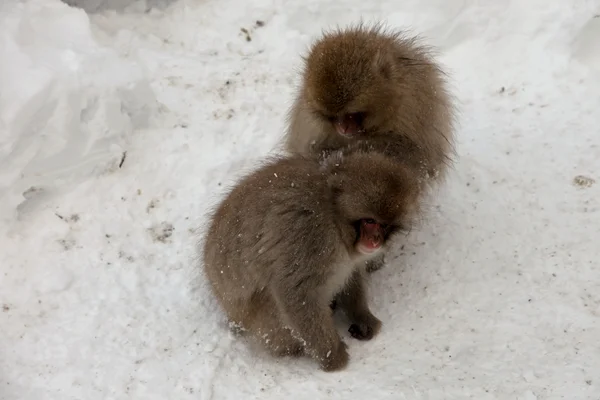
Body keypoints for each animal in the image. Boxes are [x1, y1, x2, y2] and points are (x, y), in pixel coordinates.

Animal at [202, 151, 422, 372]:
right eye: (369, 221)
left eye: (384, 226)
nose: (375, 240)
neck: (334, 214)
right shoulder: (311, 233)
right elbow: (296, 292)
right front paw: (333, 357)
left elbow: (351, 274)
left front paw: (361, 316)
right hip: (254, 316)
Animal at [284, 21, 458, 272]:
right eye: (333, 117)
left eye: (352, 114)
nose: (343, 129)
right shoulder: (309, 121)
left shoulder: (416, 104)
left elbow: (414, 154)